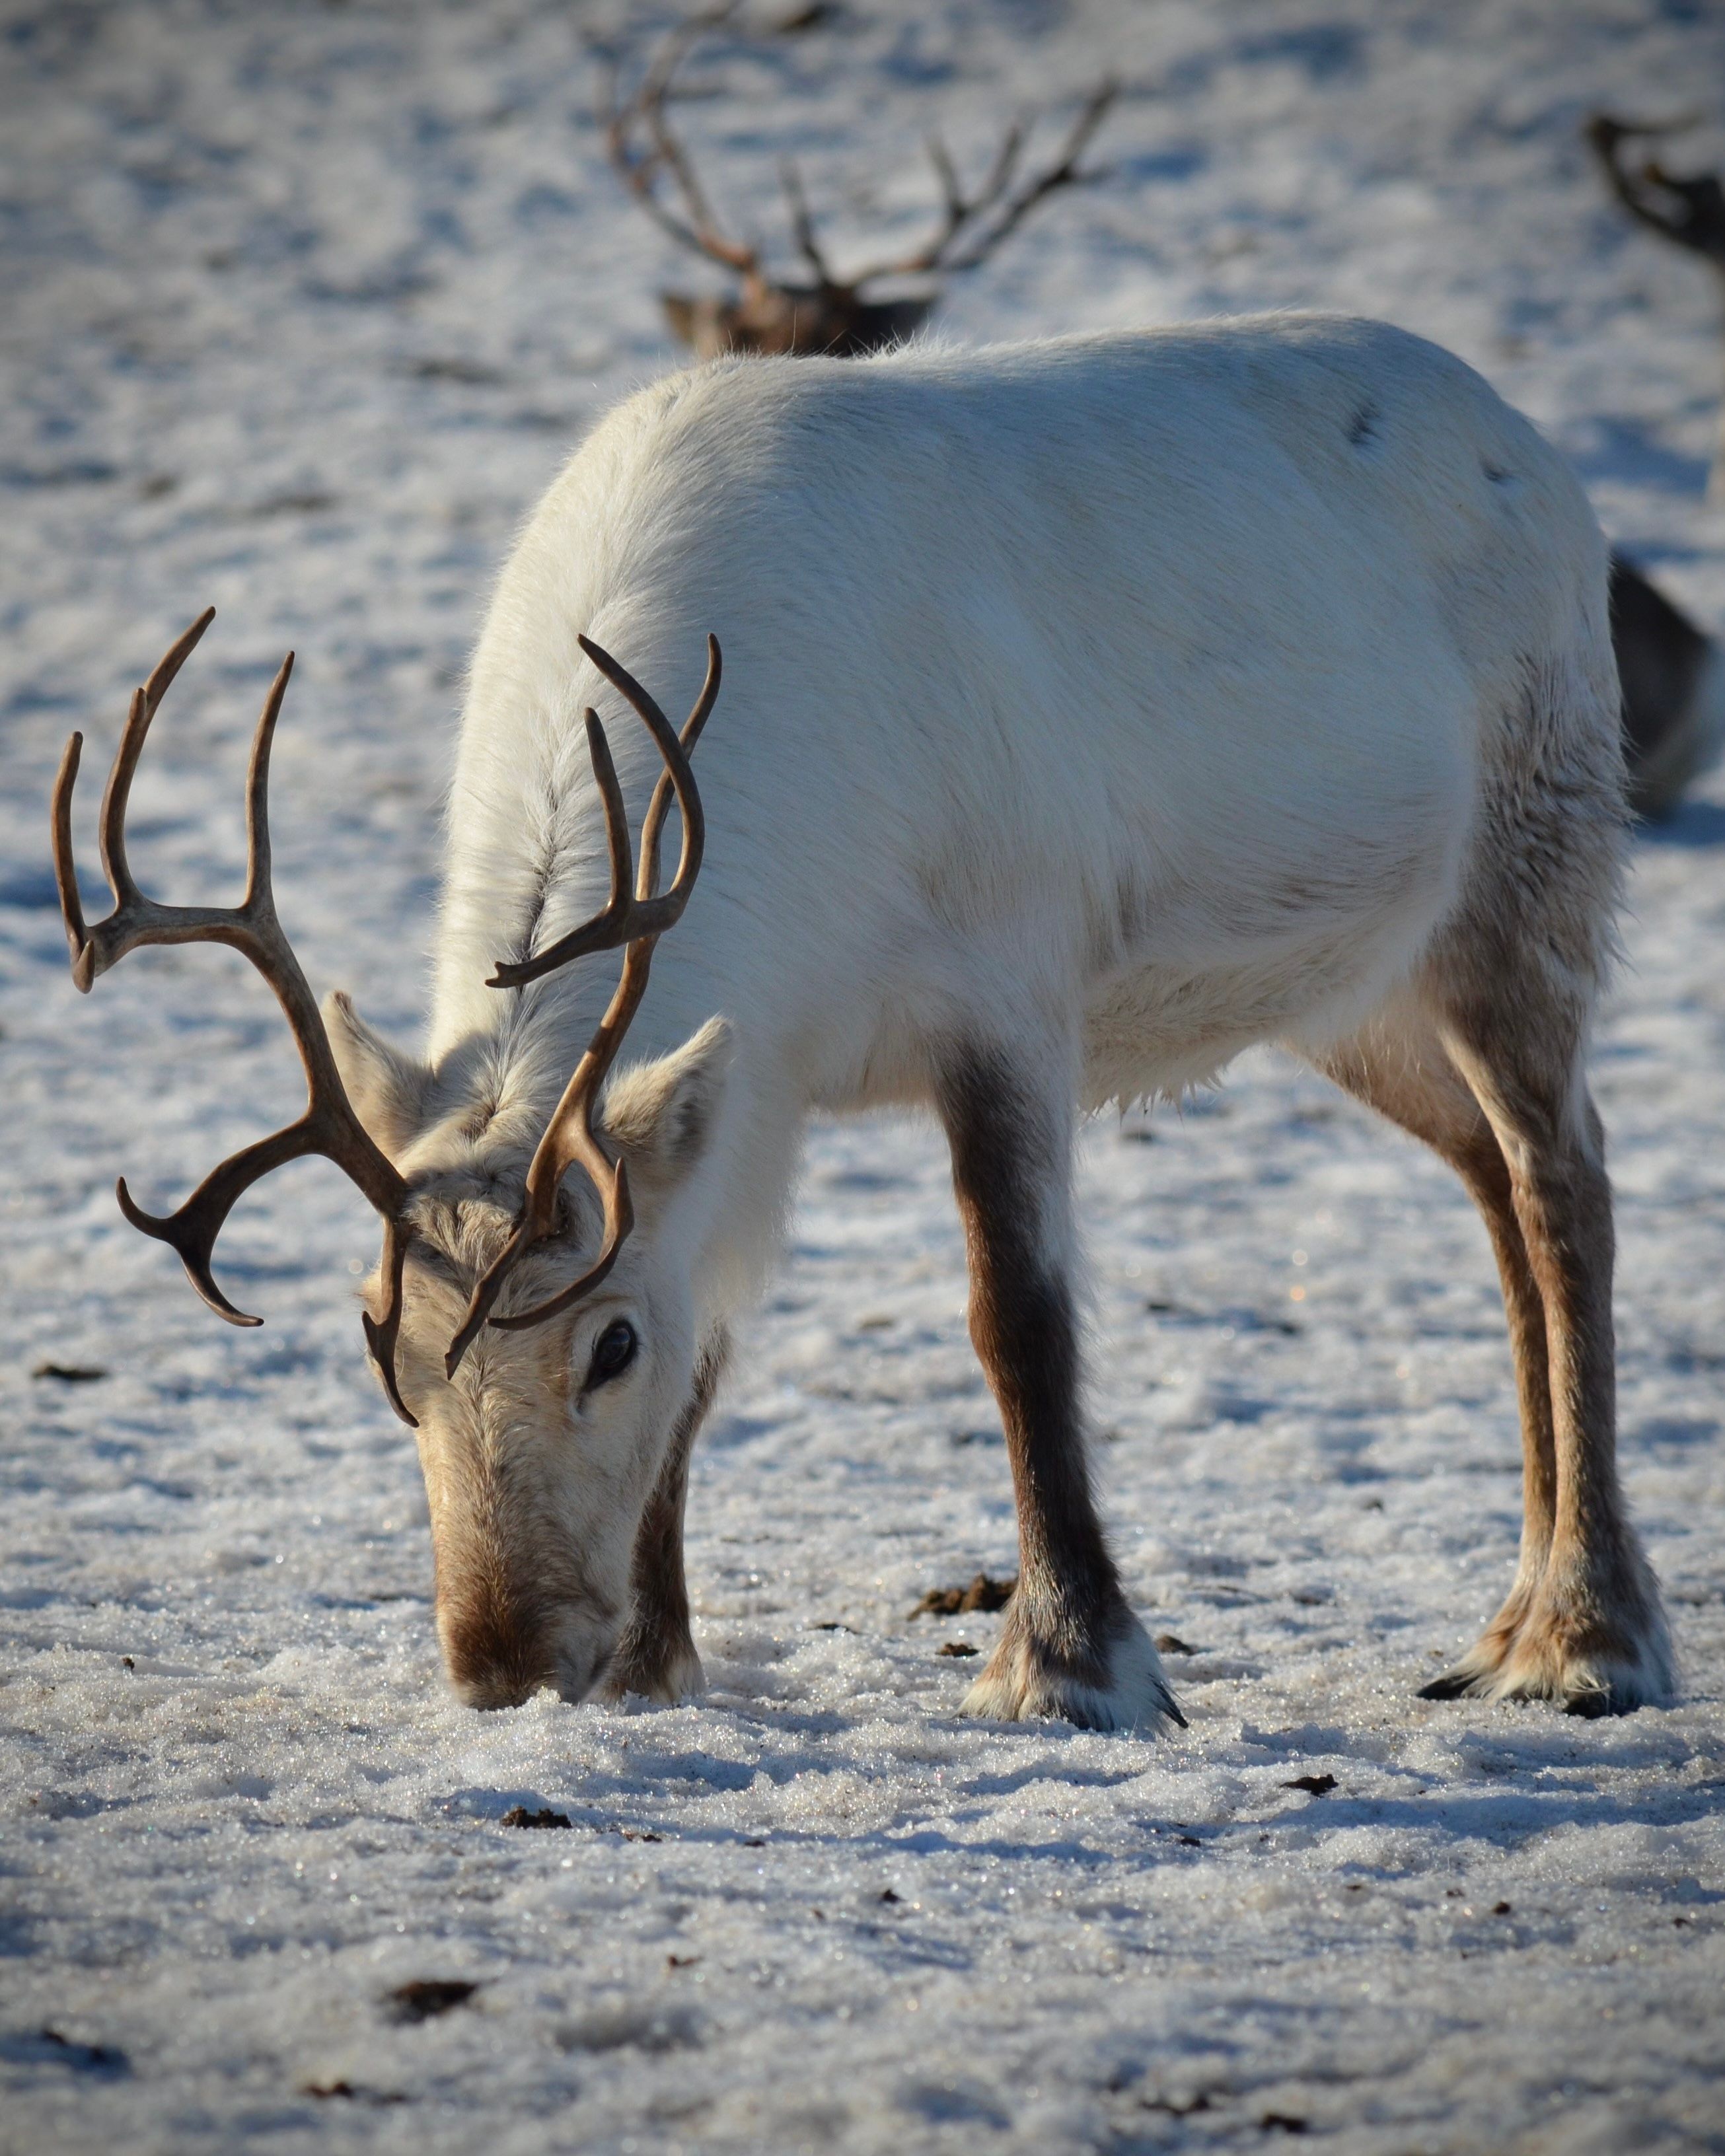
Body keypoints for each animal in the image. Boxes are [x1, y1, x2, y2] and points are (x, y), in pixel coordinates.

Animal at [53, 313, 1676, 1731]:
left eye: (607, 1344)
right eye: (382, 1341)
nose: (504, 1663)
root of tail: (1532, 444)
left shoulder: (1007, 992)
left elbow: (1016, 1316)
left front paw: (1073, 1664)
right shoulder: (758, 1081)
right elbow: (722, 1339)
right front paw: (654, 1662)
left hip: (1526, 876)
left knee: (1567, 1185)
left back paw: (1588, 1634)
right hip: (1357, 998)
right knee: (1492, 1190)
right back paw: (1509, 1615)